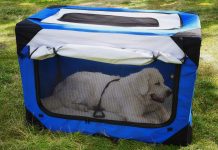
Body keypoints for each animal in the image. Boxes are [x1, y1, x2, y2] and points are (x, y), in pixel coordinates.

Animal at [41, 68, 173, 123]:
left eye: (163, 82)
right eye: (157, 83)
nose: (170, 92)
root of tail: (63, 82)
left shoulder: (154, 105)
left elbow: (162, 109)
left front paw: (167, 117)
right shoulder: (133, 116)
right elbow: (153, 121)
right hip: (84, 89)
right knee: (65, 101)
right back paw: (82, 107)